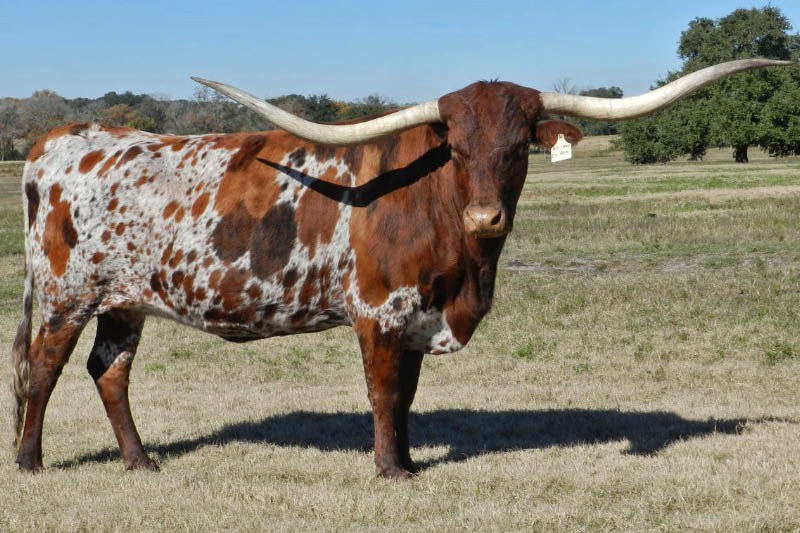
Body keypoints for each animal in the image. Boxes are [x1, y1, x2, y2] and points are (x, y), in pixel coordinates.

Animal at [12, 59, 790, 478]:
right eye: (458, 150)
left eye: (519, 149)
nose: (487, 217)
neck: (464, 267)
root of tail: (59, 140)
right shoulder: (379, 311)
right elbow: (385, 394)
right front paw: (390, 470)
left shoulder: (419, 315)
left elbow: (409, 397)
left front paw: (411, 460)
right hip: (66, 296)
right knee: (43, 369)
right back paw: (29, 460)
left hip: (125, 300)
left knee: (109, 371)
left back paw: (140, 461)